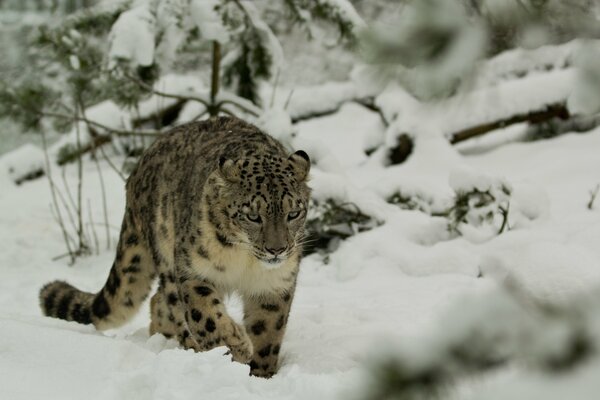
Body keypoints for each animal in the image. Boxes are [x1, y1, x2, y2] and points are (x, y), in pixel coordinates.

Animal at [38, 115, 310, 378]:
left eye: (293, 213)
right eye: (253, 216)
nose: (277, 249)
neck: (245, 261)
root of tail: (137, 172)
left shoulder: (274, 284)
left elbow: (268, 330)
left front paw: (261, 374)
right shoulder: (195, 271)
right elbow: (206, 317)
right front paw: (236, 345)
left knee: (157, 301)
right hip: (167, 259)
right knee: (169, 303)